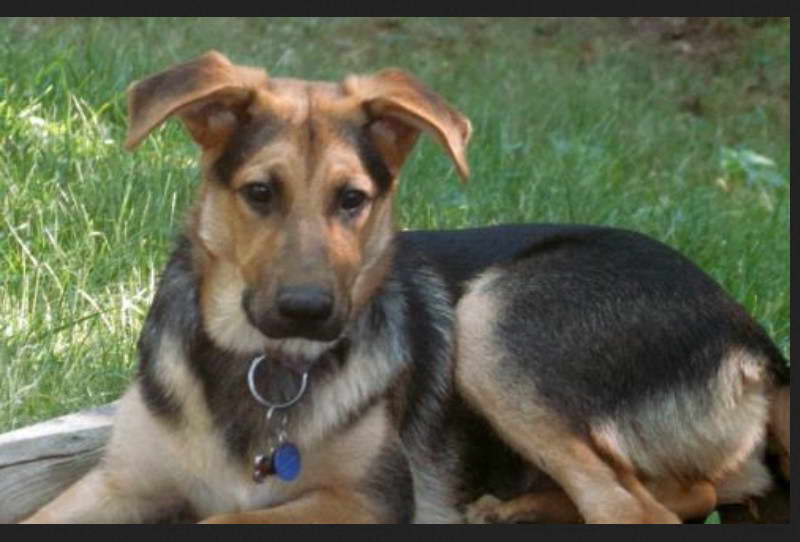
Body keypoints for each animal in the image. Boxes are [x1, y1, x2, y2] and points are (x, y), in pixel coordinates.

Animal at [23, 52, 788, 528]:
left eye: (352, 199)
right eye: (260, 193)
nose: (310, 312)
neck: (262, 371)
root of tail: (755, 340)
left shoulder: (372, 501)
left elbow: (223, 516)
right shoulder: (118, 483)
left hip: (491, 320)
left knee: (644, 505)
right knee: (689, 489)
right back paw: (515, 506)